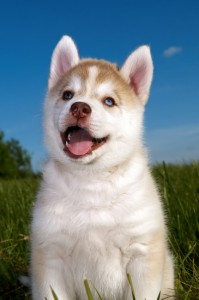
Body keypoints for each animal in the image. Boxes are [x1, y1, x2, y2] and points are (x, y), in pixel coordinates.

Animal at [30, 36, 174, 298]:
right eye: (67, 95)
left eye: (109, 101)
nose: (79, 107)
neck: (91, 179)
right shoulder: (51, 255)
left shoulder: (141, 253)